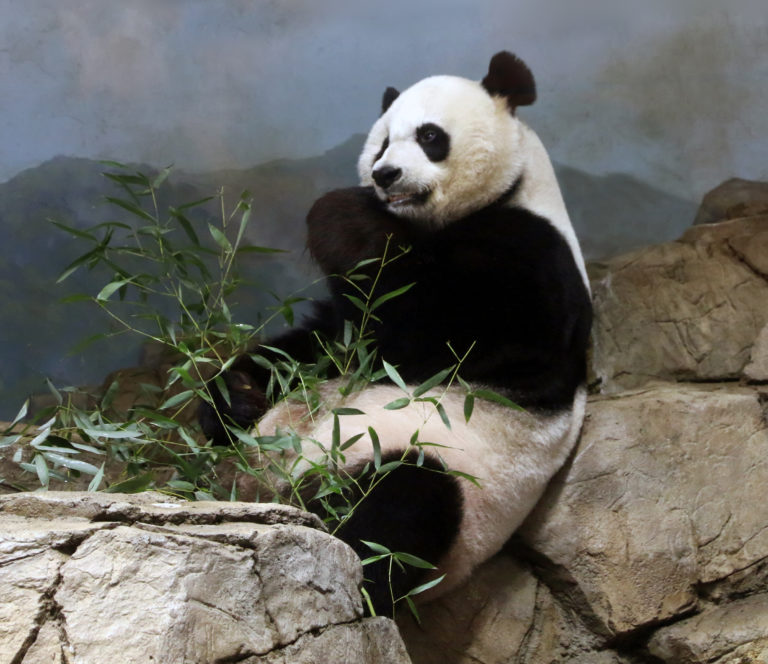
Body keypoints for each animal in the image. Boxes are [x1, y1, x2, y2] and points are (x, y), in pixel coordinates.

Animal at [199, 51, 592, 615]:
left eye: (430, 136)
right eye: (383, 141)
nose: (385, 175)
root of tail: (272, 487)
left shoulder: (533, 265)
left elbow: (426, 333)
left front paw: (342, 216)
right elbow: (330, 339)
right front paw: (238, 389)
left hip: (447, 486)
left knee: (404, 506)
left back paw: (337, 558)